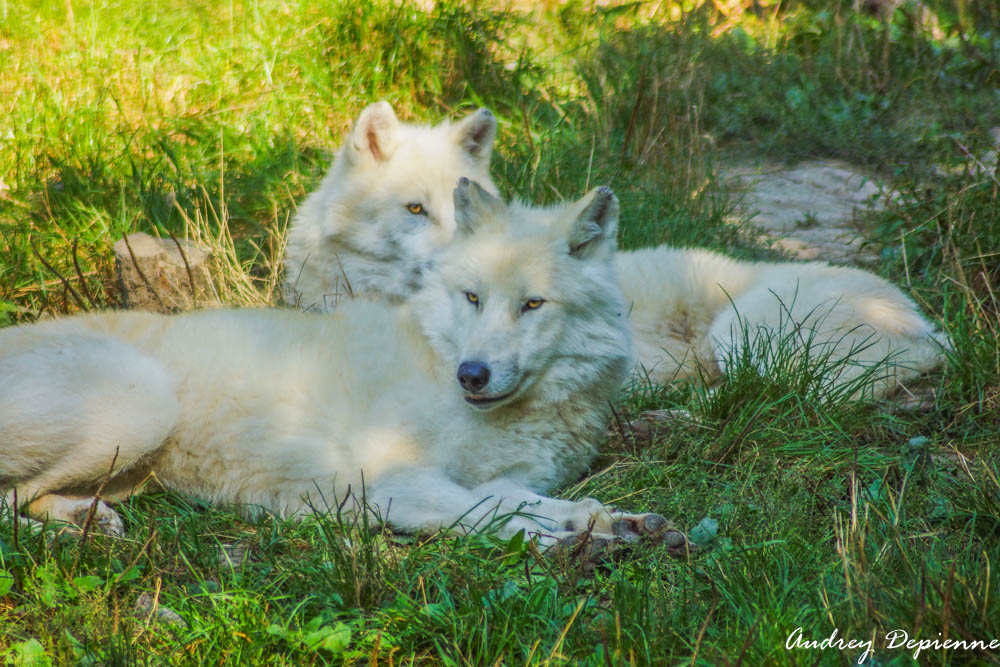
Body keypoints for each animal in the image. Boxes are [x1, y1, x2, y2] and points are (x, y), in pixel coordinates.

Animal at [0, 179, 688, 552]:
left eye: (532, 304)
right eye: (472, 298)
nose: (471, 376)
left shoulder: (512, 478)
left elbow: (544, 502)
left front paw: (619, 523)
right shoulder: (390, 485)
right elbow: (491, 514)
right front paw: (574, 541)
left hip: (129, 465)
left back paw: (86, 520)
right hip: (142, 406)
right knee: (9, 507)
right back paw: (64, 540)